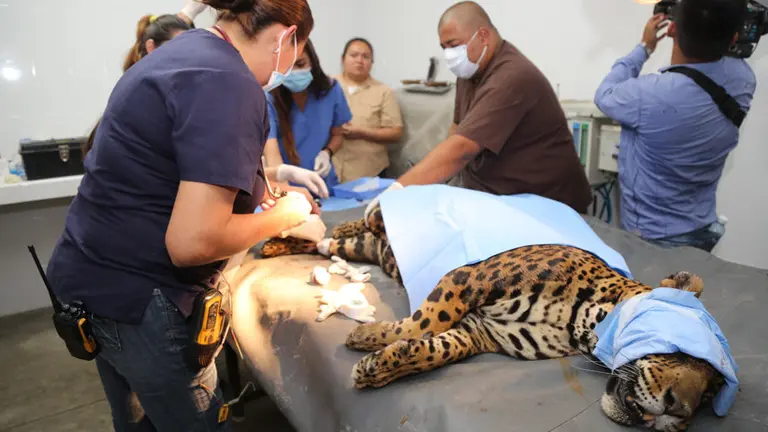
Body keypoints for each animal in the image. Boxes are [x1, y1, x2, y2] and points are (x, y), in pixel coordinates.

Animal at [260, 205, 725, 431]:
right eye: (683, 351)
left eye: (708, 397)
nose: (679, 412)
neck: (581, 323)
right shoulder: (469, 277)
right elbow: (423, 321)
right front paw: (369, 337)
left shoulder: (479, 333)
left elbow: (433, 348)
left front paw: (379, 362)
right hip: (383, 220)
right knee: (361, 220)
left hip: (362, 250)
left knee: (333, 241)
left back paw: (279, 244)